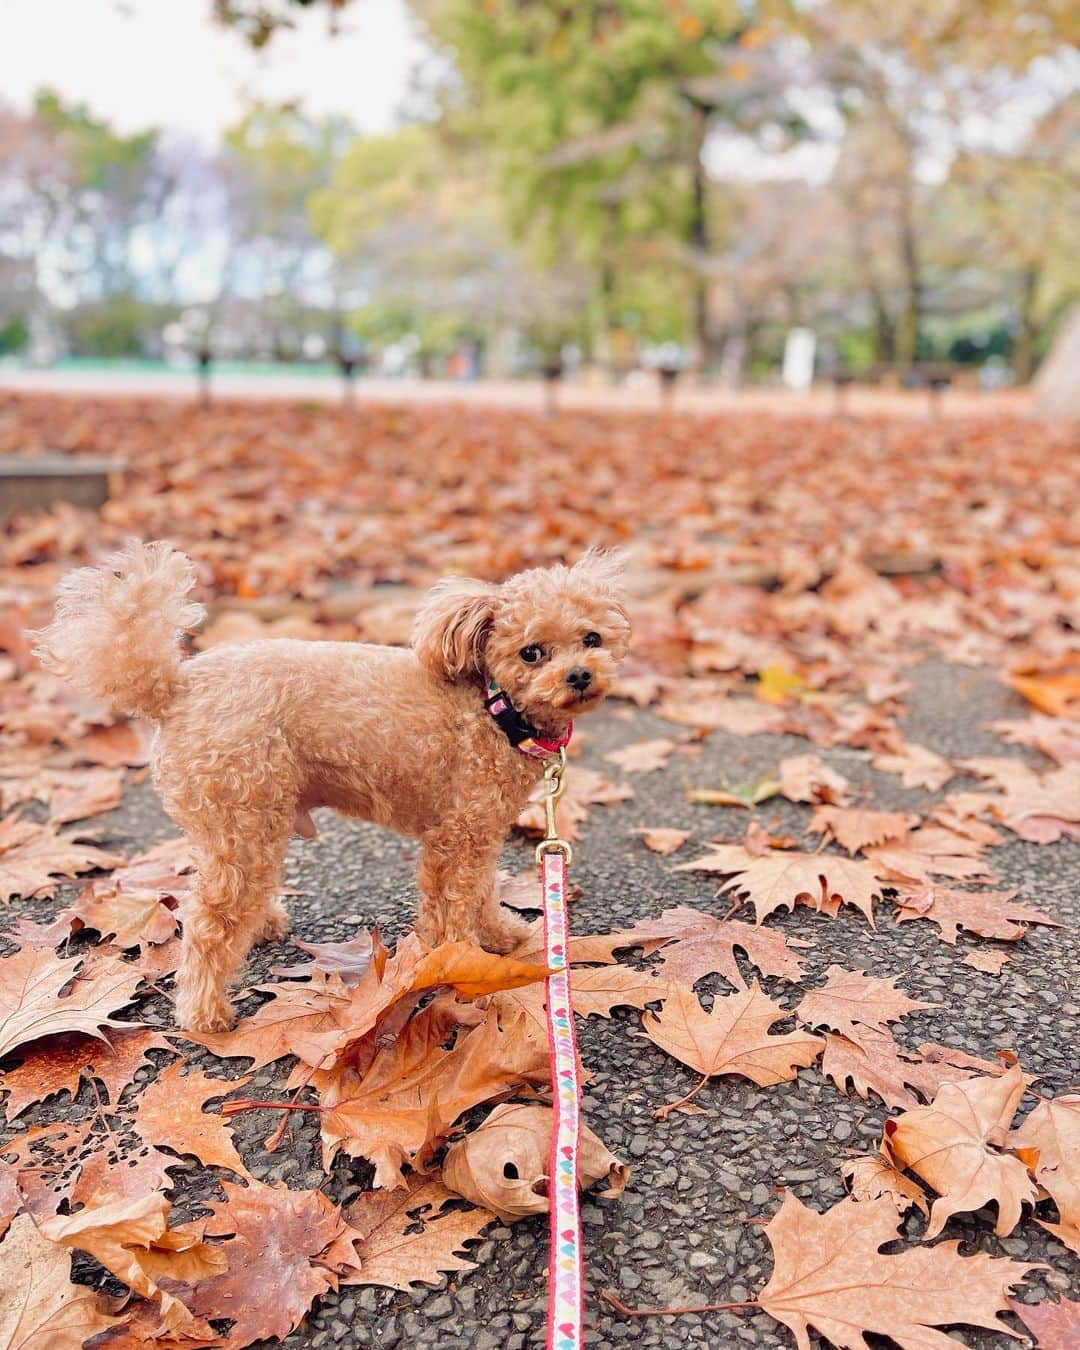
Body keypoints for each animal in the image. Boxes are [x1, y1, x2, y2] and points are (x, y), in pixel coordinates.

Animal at [35, 542, 631, 1026]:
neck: (492, 709)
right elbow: (450, 909)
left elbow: (481, 891)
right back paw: (206, 1014)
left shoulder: (480, 834)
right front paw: (460, 968)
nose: (580, 675)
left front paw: (500, 936)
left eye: (592, 638)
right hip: (245, 813)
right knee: (207, 923)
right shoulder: (455, 835)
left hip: (239, 820)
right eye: (531, 652)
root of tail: (174, 688)